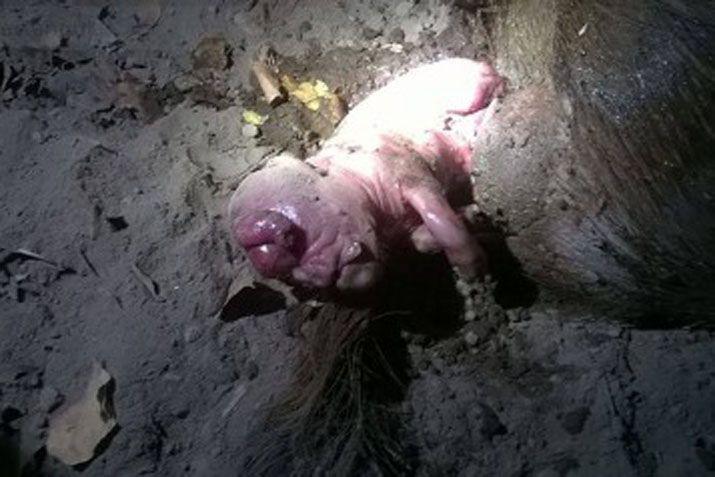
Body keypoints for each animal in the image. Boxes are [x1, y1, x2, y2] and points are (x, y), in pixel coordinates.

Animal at [229, 59, 504, 291]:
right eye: (293, 278)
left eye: (290, 238)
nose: (261, 256)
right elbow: (423, 238)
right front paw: (476, 217)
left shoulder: (407, 168)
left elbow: (439, 216)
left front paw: (477, 277)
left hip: (466, 86)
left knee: (497, 86)